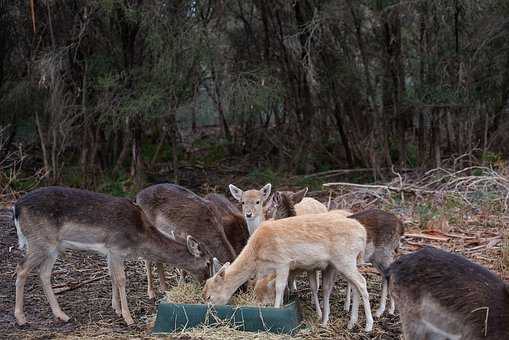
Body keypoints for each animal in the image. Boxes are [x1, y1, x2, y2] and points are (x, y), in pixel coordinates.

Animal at [11, 187, 214, 326]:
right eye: (207, 262)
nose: (206, 285)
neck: (139, 236)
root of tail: (16, 208)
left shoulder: (109, 251)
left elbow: (112, 277)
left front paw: (116, 308)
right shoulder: (116, 248)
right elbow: (121, 279)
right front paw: (128, 317)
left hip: (52, 247)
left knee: (43, 273)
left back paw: (62, 315)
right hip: (39, 241)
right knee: (21, 268)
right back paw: (21, 318)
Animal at [202, 211, 374, 330]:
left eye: (209, 296)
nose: (210, 314)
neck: (257, 254)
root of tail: (364, 234)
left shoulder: (283, 262)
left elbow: (279, 287)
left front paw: (276, 309)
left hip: (345, 259)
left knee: (362, 282)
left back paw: (368, 326)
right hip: (344, 262)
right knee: (355, 285)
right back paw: (350, 323)